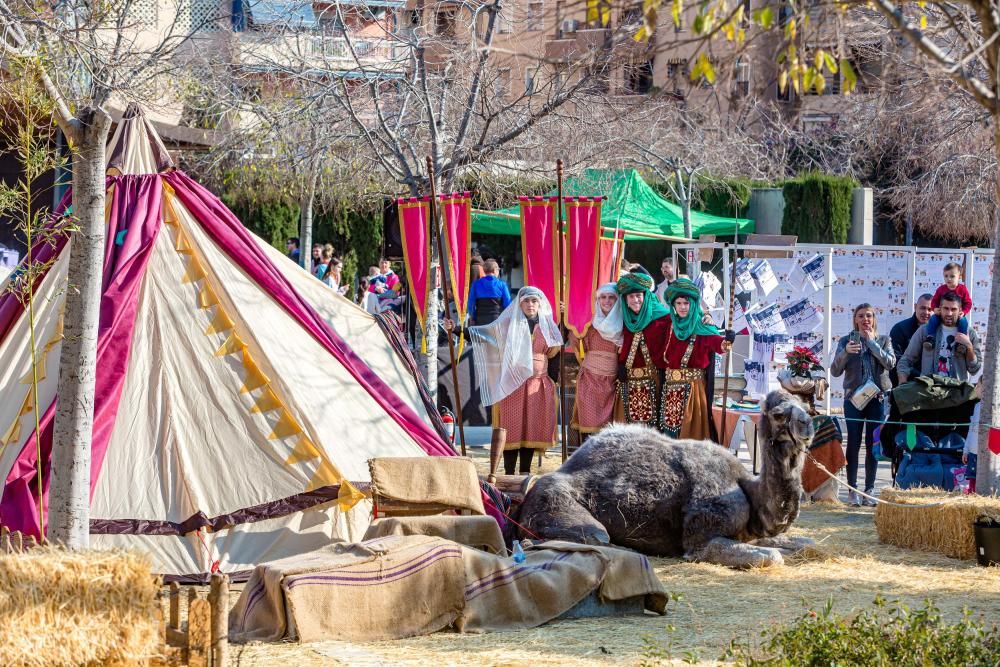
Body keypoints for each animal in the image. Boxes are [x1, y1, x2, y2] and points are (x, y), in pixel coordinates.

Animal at [520, 392, 816, 568]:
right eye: (778, 414)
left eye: (807, 407)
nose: (808, 425)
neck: (747, 488)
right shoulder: (700, 541)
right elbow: (772, 558)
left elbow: (806, 543)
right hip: (562, 506)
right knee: (593, 537)